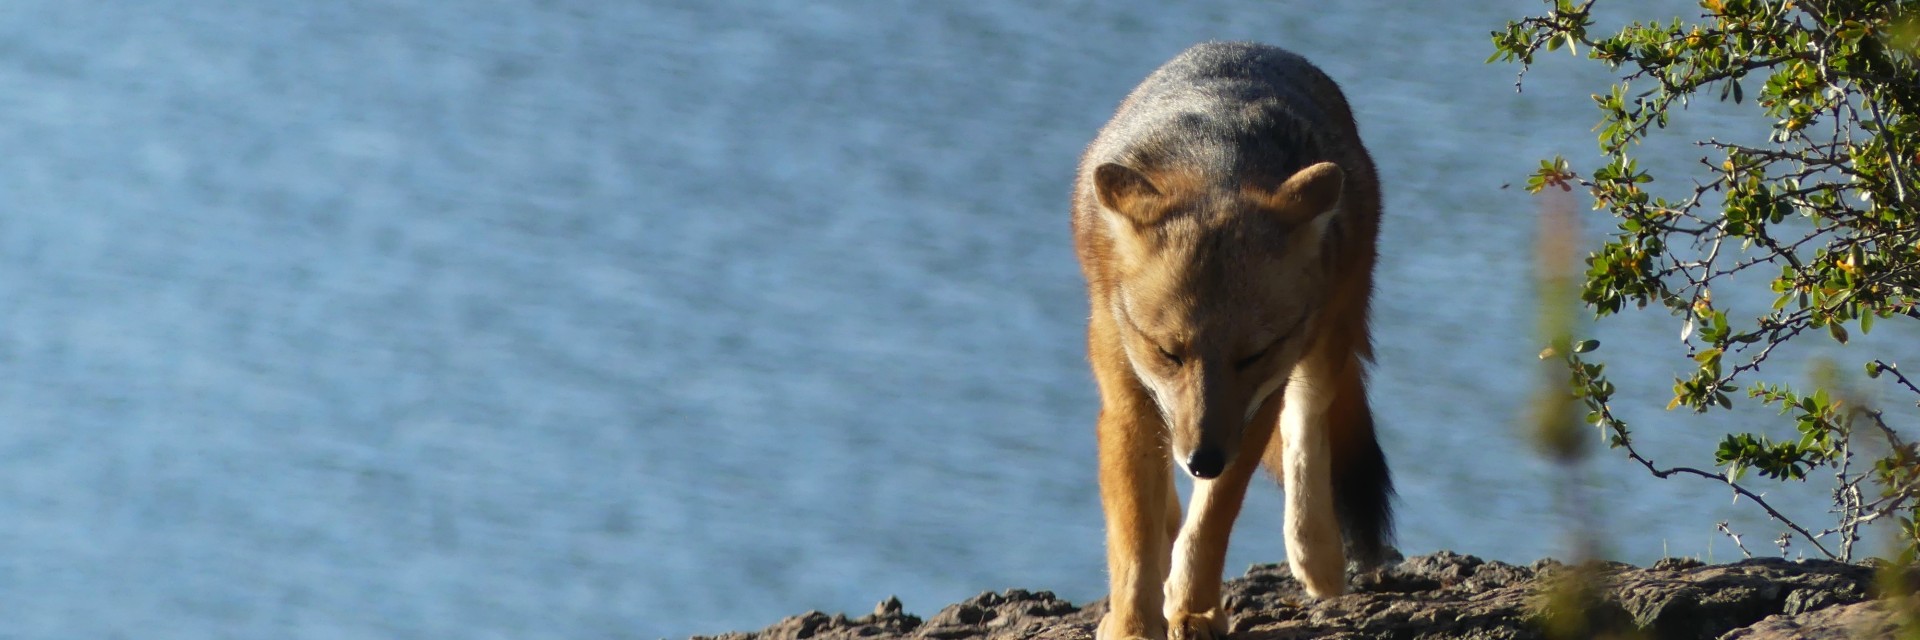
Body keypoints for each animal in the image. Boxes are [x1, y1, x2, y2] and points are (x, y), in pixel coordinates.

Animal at [1067, 42, 1397, 634]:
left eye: (1252, 355)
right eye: (1168, 352)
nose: (1203, 460)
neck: (1215, 162)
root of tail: (1252, 46)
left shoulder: (1255, 405)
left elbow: (1212, 521)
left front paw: (1193, 608)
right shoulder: (1127, 400)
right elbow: (1134, 537)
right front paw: (1134, 624)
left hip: (1325, 341)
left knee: (1308, 426)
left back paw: (1317, 555)